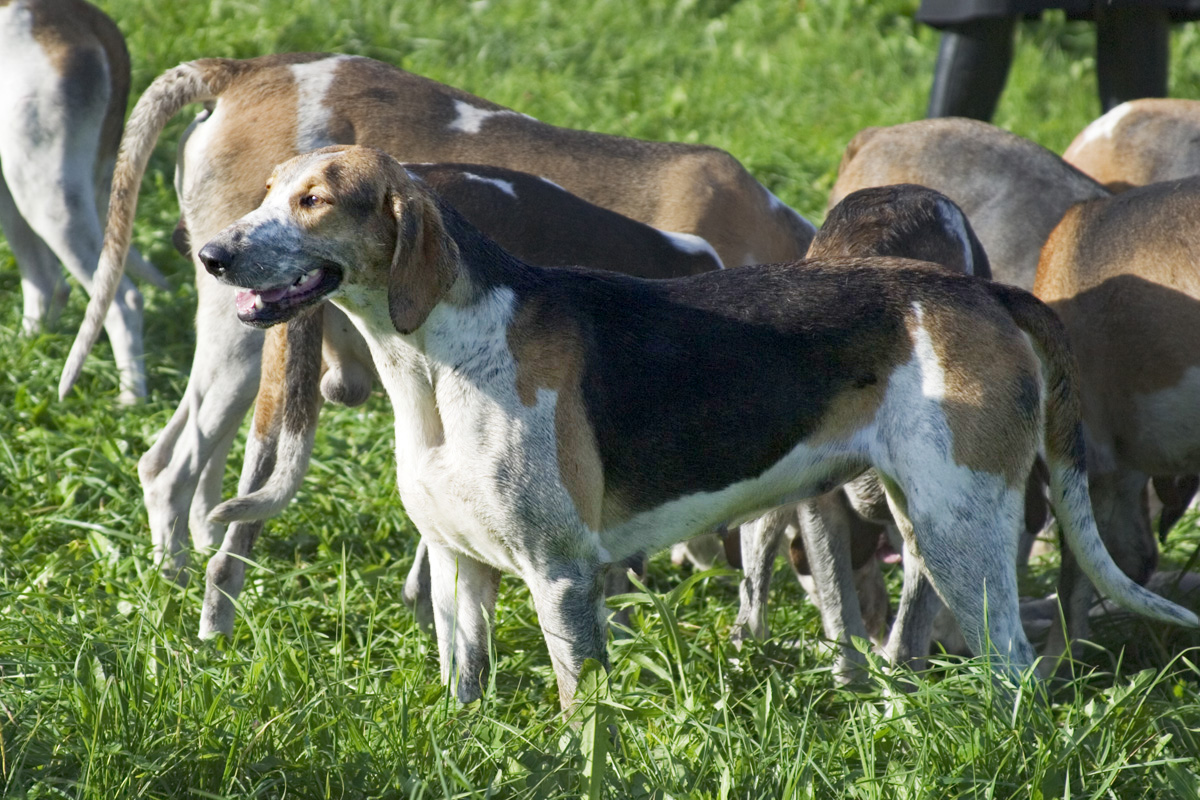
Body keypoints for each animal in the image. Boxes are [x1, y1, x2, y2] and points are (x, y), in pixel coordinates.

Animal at [0, 0, 163, 402]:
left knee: (122, 300)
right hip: (15, 190)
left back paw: (131, 398)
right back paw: (24, 353)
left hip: (47, 196)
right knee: (47, 284)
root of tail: (83, 14)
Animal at [56, 51, 820, 587]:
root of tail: (247, 69)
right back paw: (177, 579)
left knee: (206, 468)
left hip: (247, 357)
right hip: (234, 336)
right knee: (167, 465)